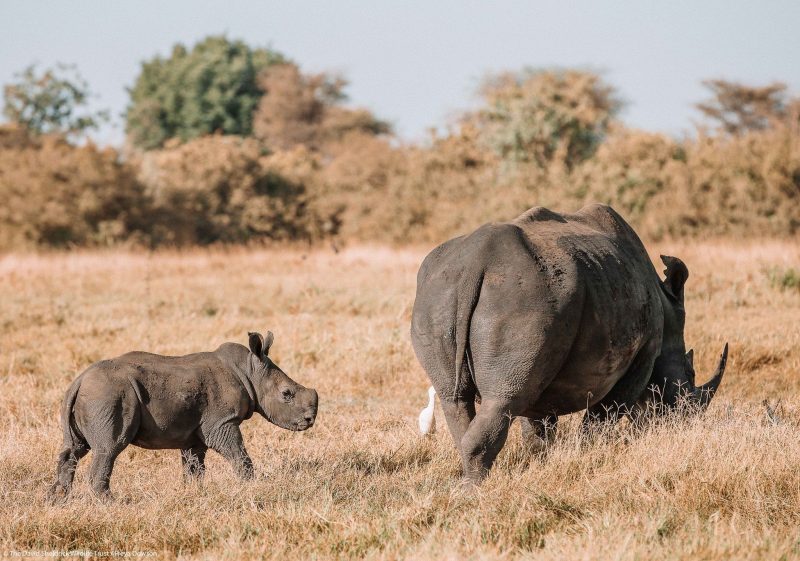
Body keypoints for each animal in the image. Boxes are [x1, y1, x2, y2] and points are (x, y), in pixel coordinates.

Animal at [49, 331, 318, 499]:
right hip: (109, 394)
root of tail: (79, 380)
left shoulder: (195, 431)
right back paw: (111, 504)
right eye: (287, 394)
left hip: (93, 395)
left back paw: (58, 501)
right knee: (109, 448)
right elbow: (239, 454)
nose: (310, 420)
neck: (250, 371)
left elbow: (194, 466)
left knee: (74, 448)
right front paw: (251, 485)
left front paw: (195, 494)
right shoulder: (221, 422)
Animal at [411, 204, 728, 484]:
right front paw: (588, 457)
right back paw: (475, 491)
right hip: (522, 297)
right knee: (502, 402)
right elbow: (602, 418)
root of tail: (476, 263)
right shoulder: (643, 354)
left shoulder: (541, 367)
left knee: (456, 398)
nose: (683, 426)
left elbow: (537, 427)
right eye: (688, 377)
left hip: (440, 292)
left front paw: (540, 463)